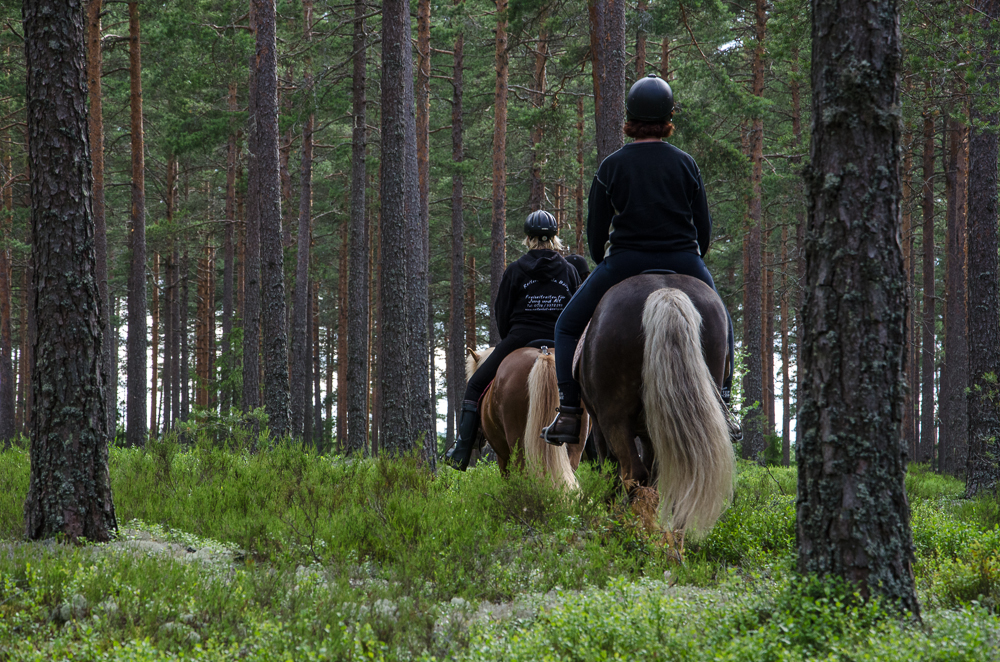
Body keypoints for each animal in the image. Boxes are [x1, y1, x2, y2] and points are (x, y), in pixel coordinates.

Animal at [580, 274, 736, 540]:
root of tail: (666, 293)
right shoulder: (652, 432)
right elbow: (653, 477)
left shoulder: (600, 428)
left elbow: (611, 471)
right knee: (683, 479)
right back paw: (675, 540)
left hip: (614, 418)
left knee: (632, 472)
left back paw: (633, 530)